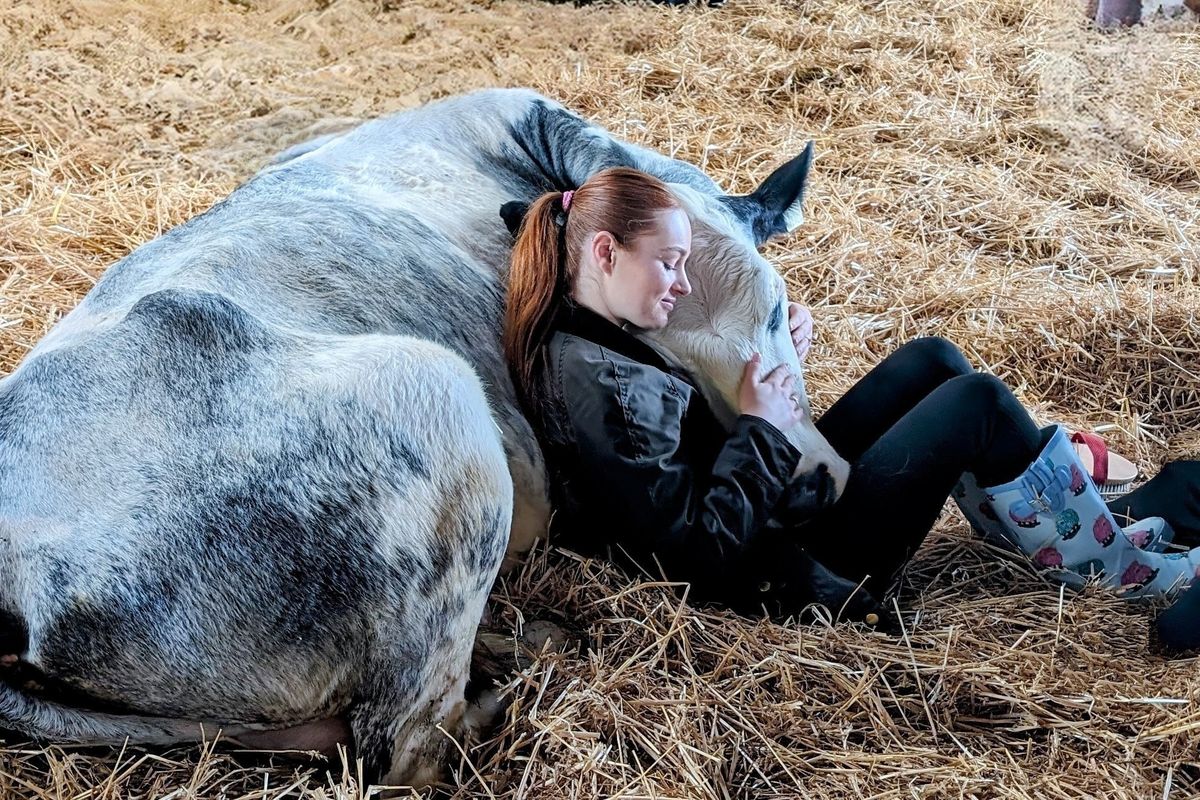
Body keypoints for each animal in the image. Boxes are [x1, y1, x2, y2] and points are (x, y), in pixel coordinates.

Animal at [0, 88, 849, 787]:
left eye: (774, 308)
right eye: (655, 352)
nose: (812, 479)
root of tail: (17, 585)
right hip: (435, 396)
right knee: (408, 743)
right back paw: (517, 673)